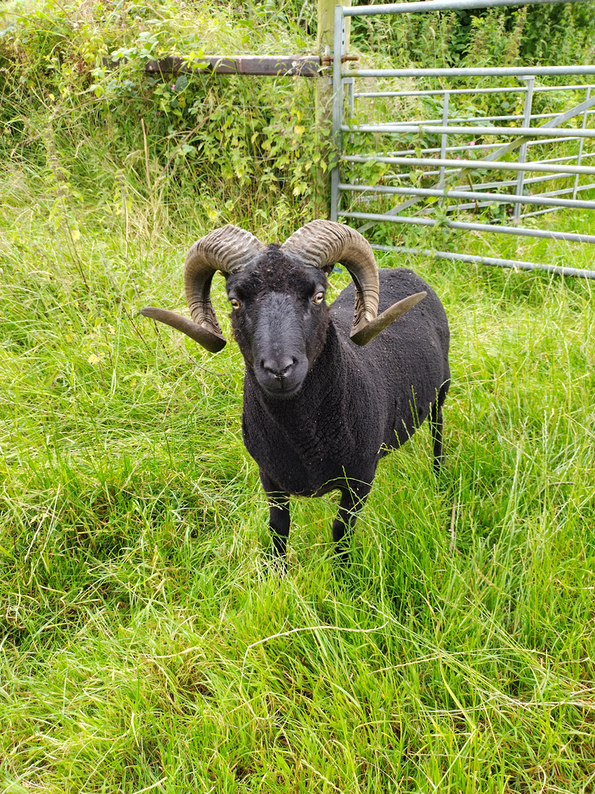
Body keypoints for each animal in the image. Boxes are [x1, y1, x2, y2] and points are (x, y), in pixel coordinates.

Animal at [142, 220, 450, 562]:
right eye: (235, 301)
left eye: (318, 295)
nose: (279, 369)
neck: (305, 436)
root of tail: (404, 271)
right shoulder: (270, 478)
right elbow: (278, 529)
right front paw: (278, 572)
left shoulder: (359, 481)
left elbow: (341, 531)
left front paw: (343, 574)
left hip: (442, 390)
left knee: (437, 431)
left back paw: (439, 477)